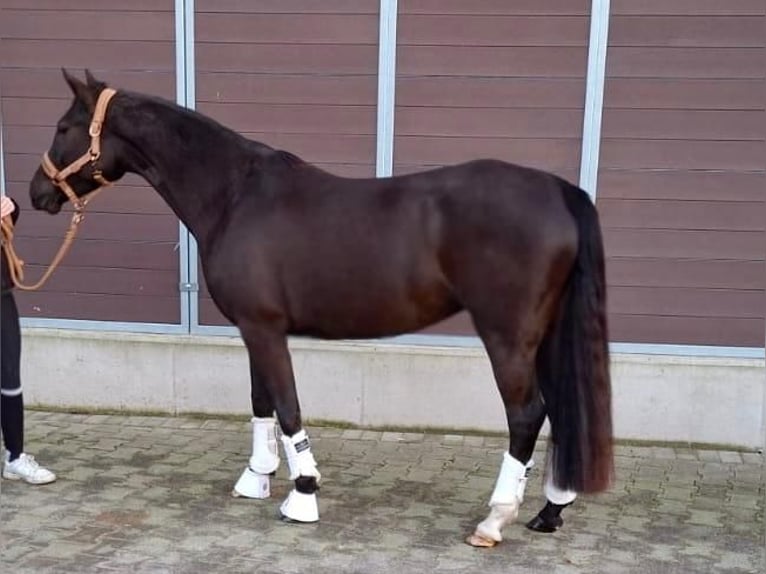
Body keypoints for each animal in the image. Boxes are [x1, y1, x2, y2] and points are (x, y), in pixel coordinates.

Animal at [30, 72, 616, 548]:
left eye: (63, 127)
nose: (37, 194)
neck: (234, 195)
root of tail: (560, 191)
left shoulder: (265, 329)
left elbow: (287, 407)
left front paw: (303, 494)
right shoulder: (254, 329)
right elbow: (261, 402)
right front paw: (257, 478)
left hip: (507, 336)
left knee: (526, 415)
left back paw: (495, 519)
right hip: (543, 335)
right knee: (558, 411)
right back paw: (549, 511)